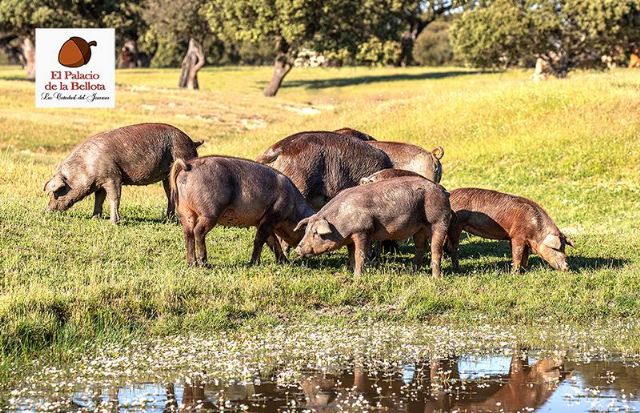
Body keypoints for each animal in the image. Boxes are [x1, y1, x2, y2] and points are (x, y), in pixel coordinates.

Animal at [43, 122, 202, 224]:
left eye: (58, 190)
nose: (47, 209)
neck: (86, 166)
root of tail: (192, 142)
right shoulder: (100, 182)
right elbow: (99, 199)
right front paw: (95, 218)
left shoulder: (113, 177)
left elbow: (114, 198)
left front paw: (113, 223)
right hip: (167, 176)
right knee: (171, 195)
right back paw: (168, 221)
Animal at [170, 156, 316, 266]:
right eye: (307, 232)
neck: (294, 208)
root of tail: (188, 166)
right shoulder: (273, 215)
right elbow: (259, 239)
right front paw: (253, 263)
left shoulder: (262, 221)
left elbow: (272, 241)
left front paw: (285, 262)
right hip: (210, 213)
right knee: (198, 232)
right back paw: (204, 263)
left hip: (185, 211)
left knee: (188, 233)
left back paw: (191, 264)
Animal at [294, 175, 450, 276]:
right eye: (306, 231)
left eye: (316, 233)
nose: (297, 249)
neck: (340, 221)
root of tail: (443, 190)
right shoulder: (350, 237)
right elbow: (351, 255)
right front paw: (350, 271)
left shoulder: (362, 231)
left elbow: (360, 255)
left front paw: (357, 277)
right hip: (419, 228)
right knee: (420, 247)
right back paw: (414, 272)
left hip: (439, 220)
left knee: (436, 250)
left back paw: (436, 278)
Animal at [444, 187, 576, 272]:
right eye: (556, 249)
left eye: (564, 248)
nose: (567, 268)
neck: (535, 229)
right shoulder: (517, 236)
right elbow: (517, 254)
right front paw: (514, 273)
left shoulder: (526, 241)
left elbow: (525, 256)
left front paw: (525, 270)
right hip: (456, 224)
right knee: (453, 247)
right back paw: (457, 268)